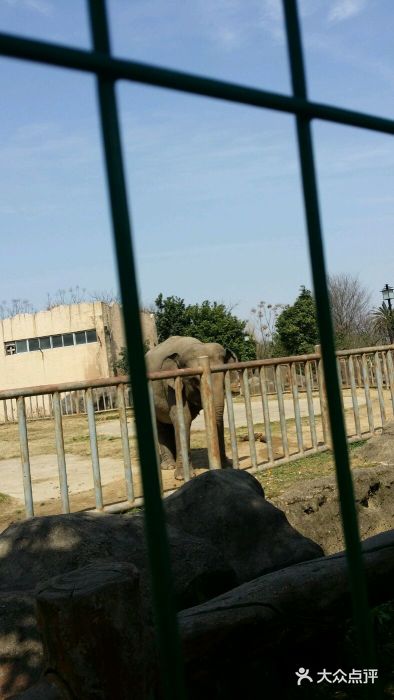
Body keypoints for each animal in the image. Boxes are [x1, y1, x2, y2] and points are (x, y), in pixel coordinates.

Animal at [145, 336, 235, 478]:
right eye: (194, 381)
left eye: (223, 378)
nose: (224, 465)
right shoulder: (170, 385)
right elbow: (183, 416)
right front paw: (183, 476)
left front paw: (226, 467)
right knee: (161, 426)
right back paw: (169, 466)